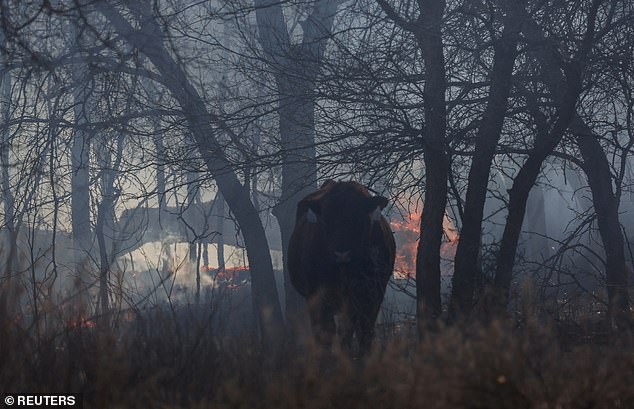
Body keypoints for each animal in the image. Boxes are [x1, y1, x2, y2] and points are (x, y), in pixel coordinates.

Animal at [288, 179, 396, 354]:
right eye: (326, 219)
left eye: (358, 217)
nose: (342, 254)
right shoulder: (317, 295)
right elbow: (327, 333)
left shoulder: (371, 295)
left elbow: (361, 331)